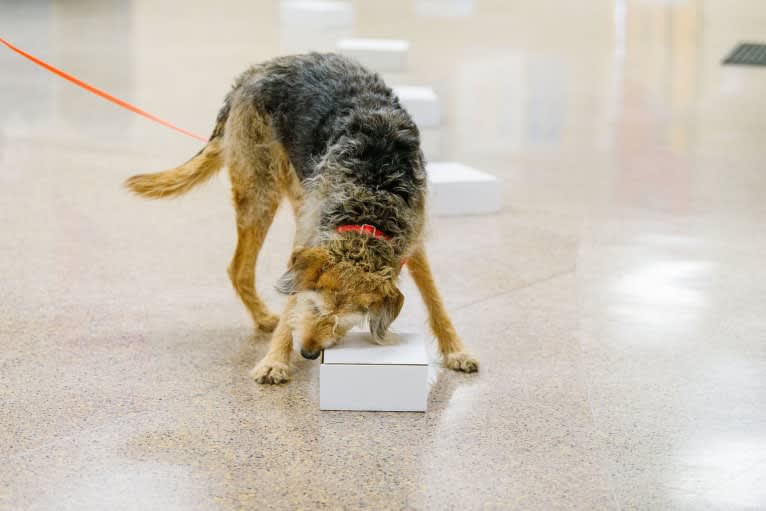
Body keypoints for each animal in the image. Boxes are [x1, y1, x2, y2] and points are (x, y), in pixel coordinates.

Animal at [126, 54, 480, 386]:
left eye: (345, 321)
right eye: (315, 307)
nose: (309, 352)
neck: (370, 200)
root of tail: (253, 72)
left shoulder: (412, 238)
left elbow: (435, 300)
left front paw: (456, 350)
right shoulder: (310, 241)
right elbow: (292, 296)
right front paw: (275, 361)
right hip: (260, 192)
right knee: (239, 268)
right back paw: (264, 318)